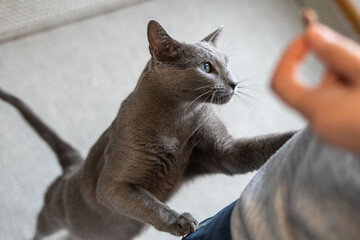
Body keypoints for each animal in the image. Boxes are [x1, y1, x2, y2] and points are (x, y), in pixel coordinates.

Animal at [0, 20, 294, 240]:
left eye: (228, 63)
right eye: (206, 67)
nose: (234, 82)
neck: (179, 122)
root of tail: (73, 168)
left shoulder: (223, 152)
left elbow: (262, 146)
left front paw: (297, 135)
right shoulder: (111, 186)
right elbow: (149, 203)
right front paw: (179, 220)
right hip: (51, 215)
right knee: (41, 230)